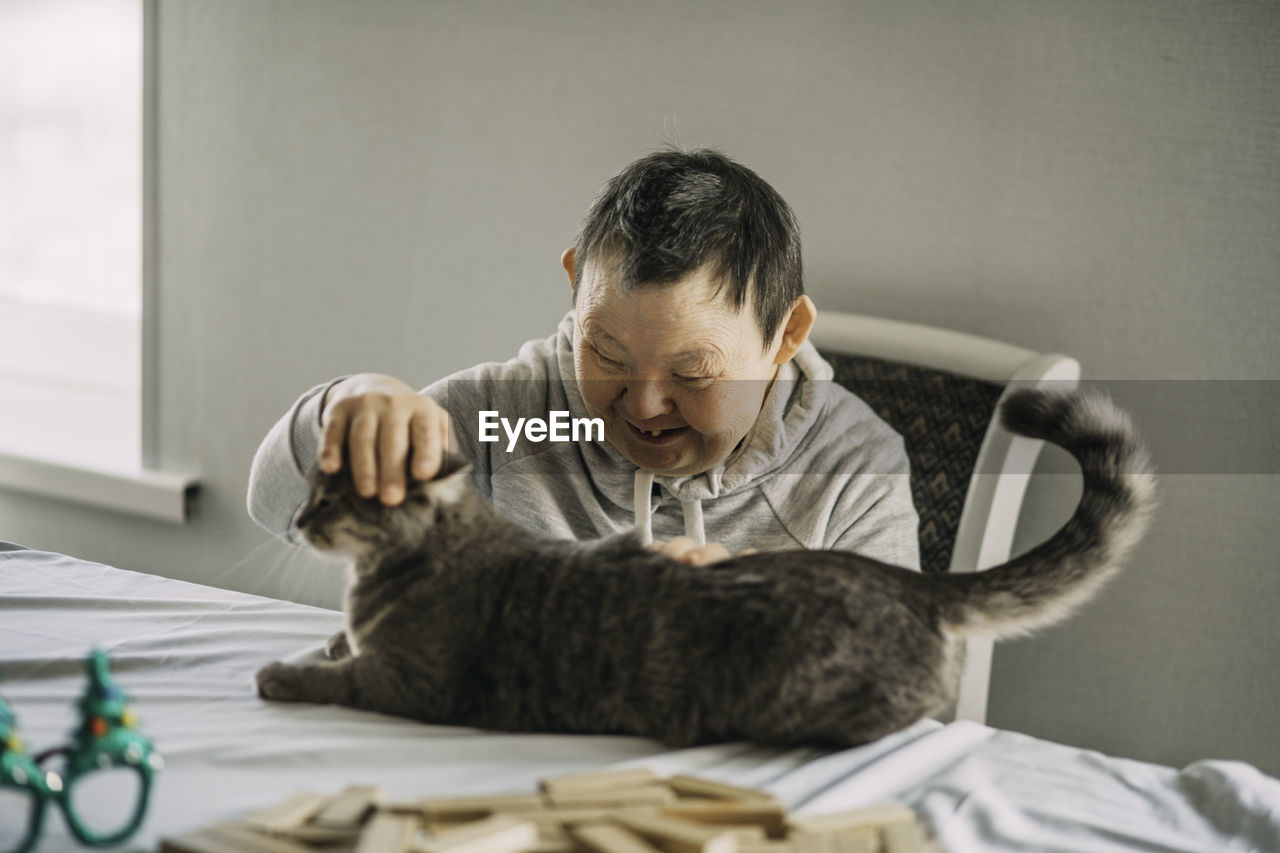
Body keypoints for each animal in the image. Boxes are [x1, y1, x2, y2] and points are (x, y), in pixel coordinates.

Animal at [254, 386, 1157, 742]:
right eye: (310, 485)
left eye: (338, 498)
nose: (298, 518)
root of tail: (908, 578)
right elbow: (338, 644)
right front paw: (324, 641)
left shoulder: (414, 680)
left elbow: (338, 674)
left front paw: (284, 672)